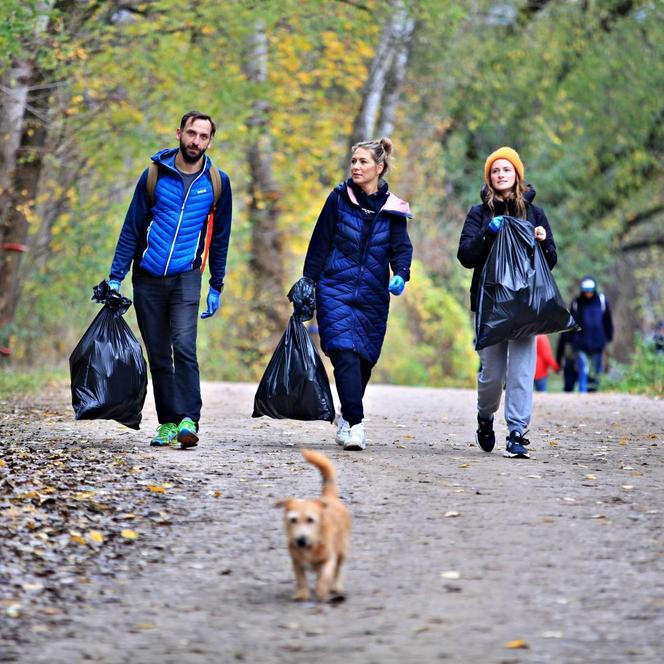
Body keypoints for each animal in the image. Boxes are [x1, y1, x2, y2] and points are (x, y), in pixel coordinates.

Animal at [274, 448, 350, 600]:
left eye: (311, 520)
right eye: (293, 520)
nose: (301, 539)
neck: (309, 547)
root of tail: (328, 497)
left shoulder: (329, 559)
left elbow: (326, 575)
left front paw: (322, 590)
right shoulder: (296, 562)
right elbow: (301, 579)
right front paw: (302, 594)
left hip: (342, 550)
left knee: (337, 571)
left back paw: (335, 587)